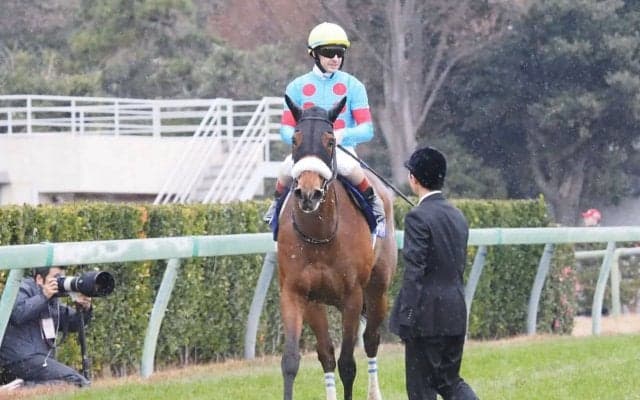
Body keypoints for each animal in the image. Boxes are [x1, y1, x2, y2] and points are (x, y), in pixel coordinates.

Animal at [276, 94, 397, 400]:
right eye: (294, 139)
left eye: (330, 140)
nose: (308, 193)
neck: (319, 235)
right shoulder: (297, 293)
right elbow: (295, 360)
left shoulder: (352, 295)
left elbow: (348, 364)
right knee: (327, 354)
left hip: (377, 290)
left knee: (371, 340)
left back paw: (374, 393)